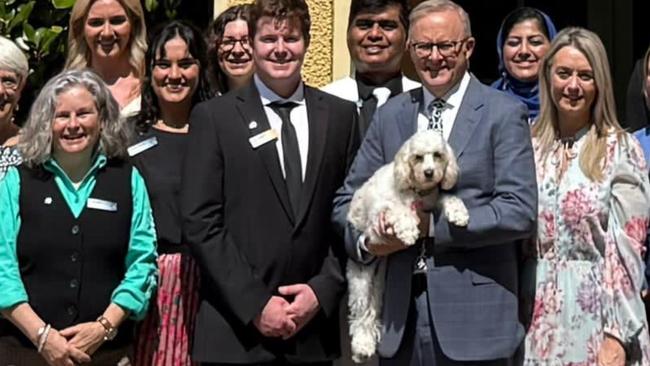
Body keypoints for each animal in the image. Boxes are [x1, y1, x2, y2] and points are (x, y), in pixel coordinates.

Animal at [344, 130, 466, 362]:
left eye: (437, 155)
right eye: (418, 157)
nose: (429, 172)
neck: (417, 191)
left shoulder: (432, 202)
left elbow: (447, 197)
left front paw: (458, 212)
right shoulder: (380, 214)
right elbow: (398, 210)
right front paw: (409, 230)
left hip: (380, 280)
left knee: (372, 311)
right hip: (361, 279)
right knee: (361, 314)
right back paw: (361, 347)